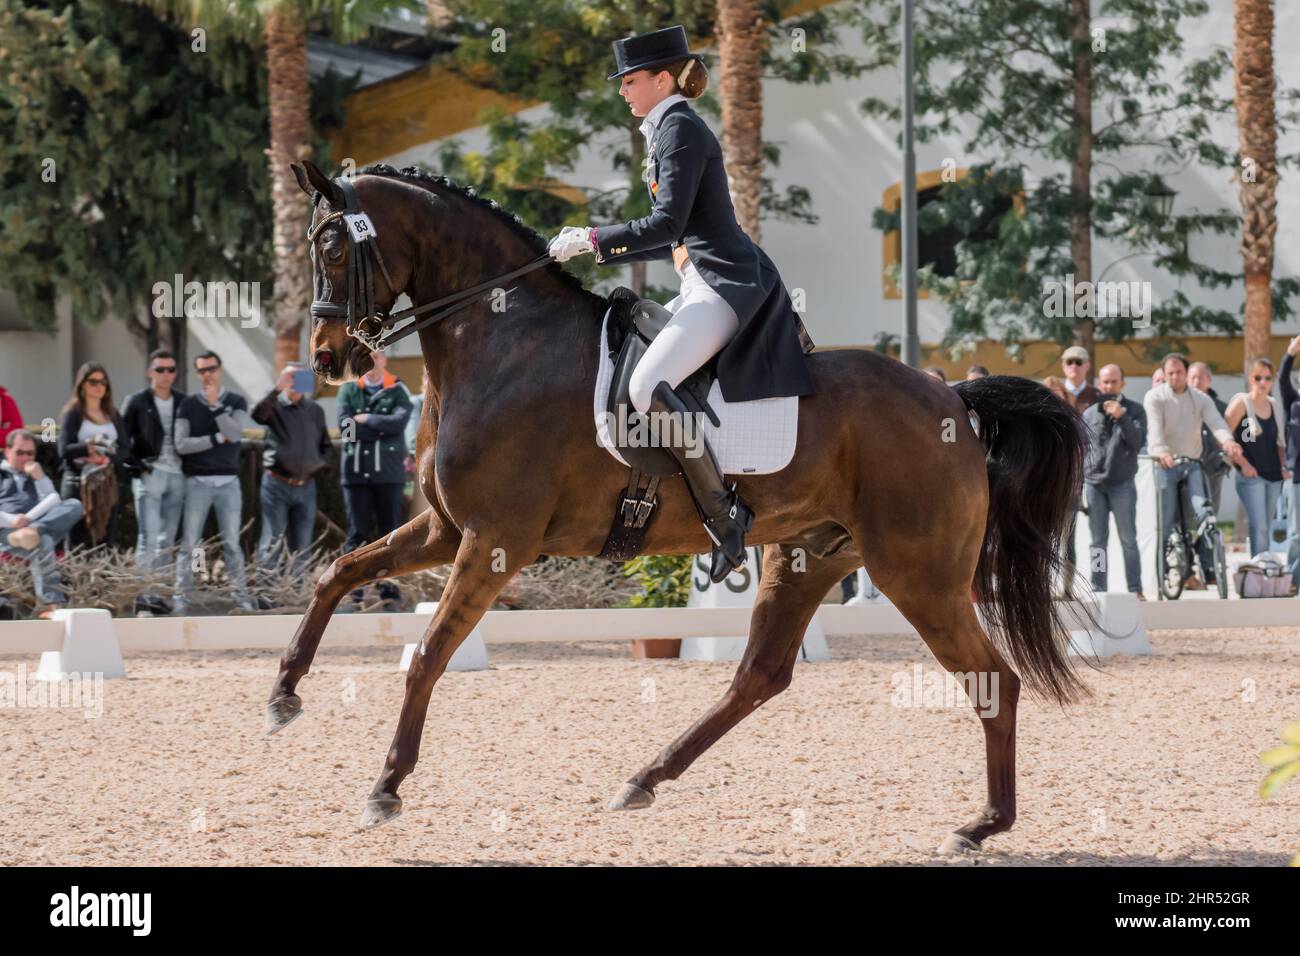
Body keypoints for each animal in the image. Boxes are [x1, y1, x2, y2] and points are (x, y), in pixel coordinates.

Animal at [266, 160, 1086, 858]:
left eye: (332, 244)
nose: (331, 356)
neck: (504, 342)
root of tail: (951, 397)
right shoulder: (444, 529)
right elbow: (338, 573)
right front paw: (283, 696)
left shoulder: (494, 540)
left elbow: (429, 655)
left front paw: (385, 786)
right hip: (811, 556)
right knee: (760, 675)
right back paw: (644, 778)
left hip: (919, 574)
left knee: (994, 679)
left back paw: (982, 825)